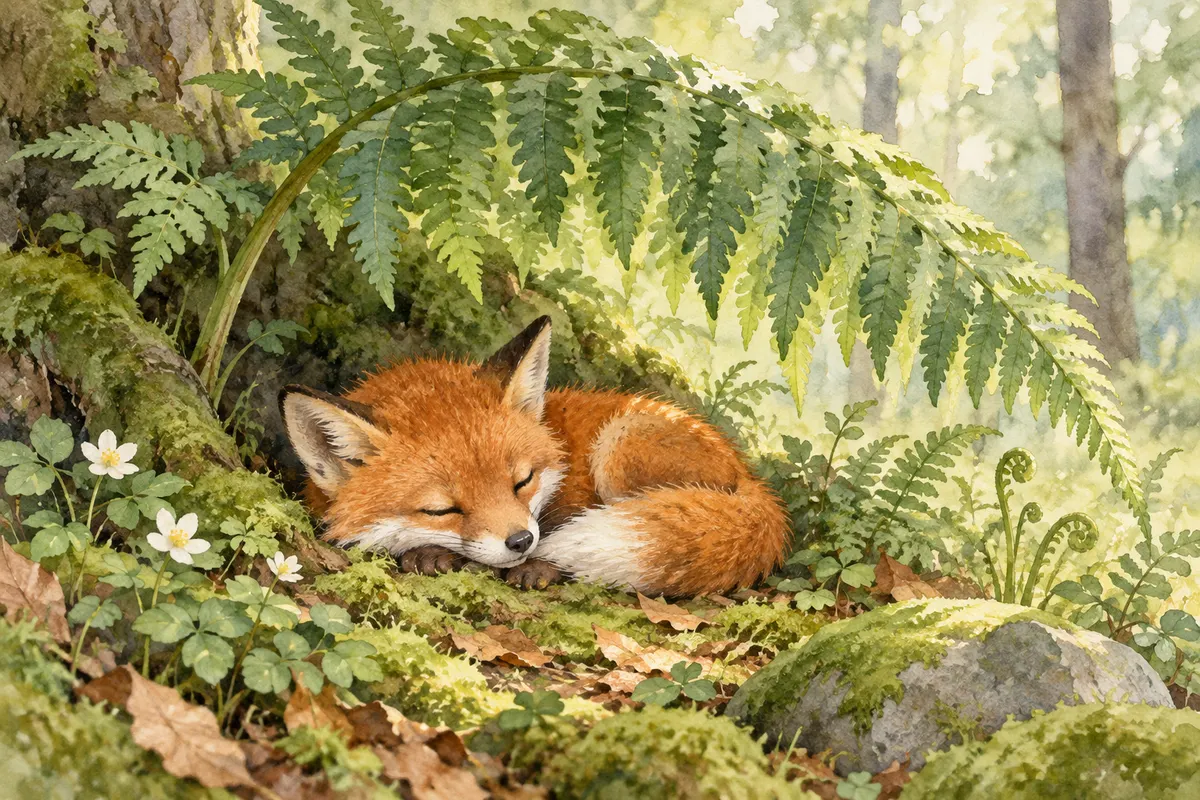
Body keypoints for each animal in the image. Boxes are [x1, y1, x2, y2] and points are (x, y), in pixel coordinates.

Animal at [279, 316, 791, 597]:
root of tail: (754, 483)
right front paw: (426, 553)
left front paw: (543, 565)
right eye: (442, 509)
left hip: (620, 443)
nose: (521, 541)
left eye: (521, 481)